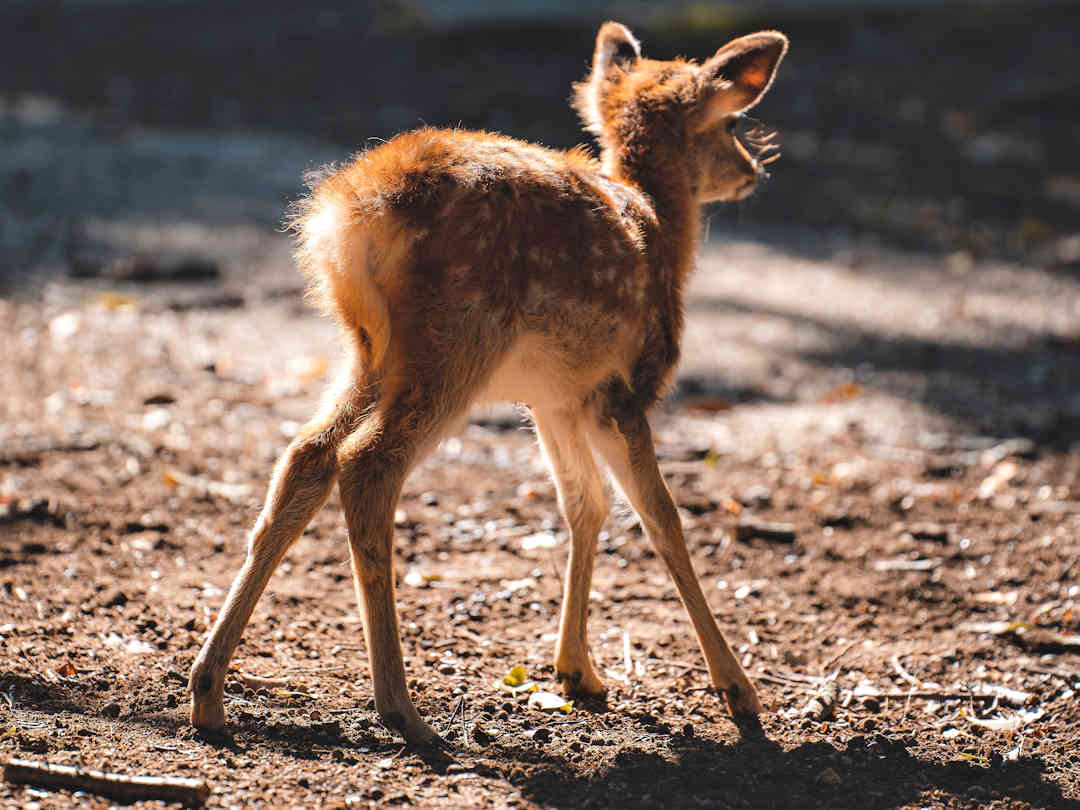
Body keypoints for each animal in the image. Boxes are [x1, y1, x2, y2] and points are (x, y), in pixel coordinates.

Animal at [190, 20, 790, 743]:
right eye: (731, 122)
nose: (754, 171)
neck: (661, 231)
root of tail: (350, 213)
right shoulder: (621, 390)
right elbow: (661, 518)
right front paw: (738, 693)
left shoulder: (556, 397)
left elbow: (584, 504)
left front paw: (578, 672)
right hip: (457, 342)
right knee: (367, 464)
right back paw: (401, 709)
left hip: (371, 351)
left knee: (307, 455)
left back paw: (208, 693)